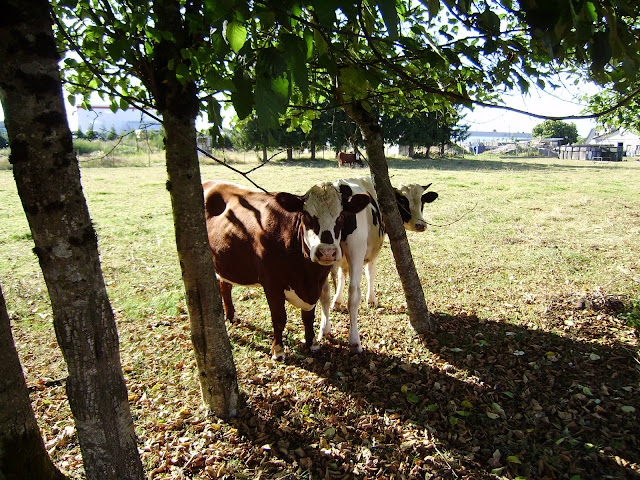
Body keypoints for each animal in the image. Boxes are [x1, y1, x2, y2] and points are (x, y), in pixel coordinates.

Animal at [203, 180, 370, 360]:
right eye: (306, 216)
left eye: (340, 216)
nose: (326, 252)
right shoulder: (272, 284)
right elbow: (279, 318)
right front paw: (278, 350)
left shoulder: (315, 286)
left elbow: (308, 317)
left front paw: (312, 344)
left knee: (225, 286)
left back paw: (232, 316)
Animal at [317, 176, 438, 353]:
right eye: (402, 201)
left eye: (422, 200)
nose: (421, 225)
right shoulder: (373, 250)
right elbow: (370, 274)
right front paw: (371, 300)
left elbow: (341, 275)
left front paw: (337, 302)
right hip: (356, 249)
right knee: (354, 292)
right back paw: (355, 341)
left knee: (324, 291)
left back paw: (324, 330)